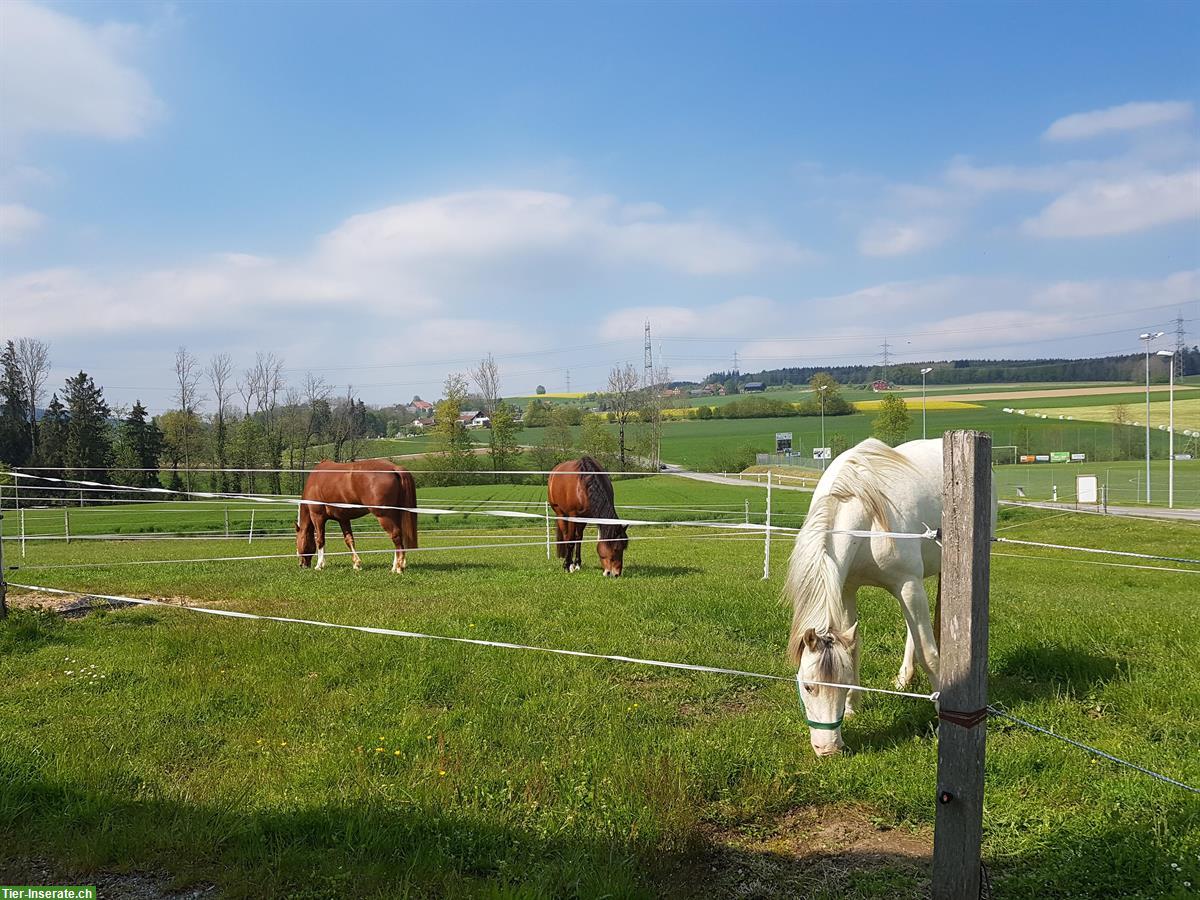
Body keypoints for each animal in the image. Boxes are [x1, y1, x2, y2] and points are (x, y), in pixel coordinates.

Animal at [787, 436, 993, 753]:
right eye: (808, 685)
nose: (829, 749)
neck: (865, 514)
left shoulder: (907, 584)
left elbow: (930, 654)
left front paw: (941, 717)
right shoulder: (847, 589)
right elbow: (855, 648)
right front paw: (853, 707)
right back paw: (904, 677)